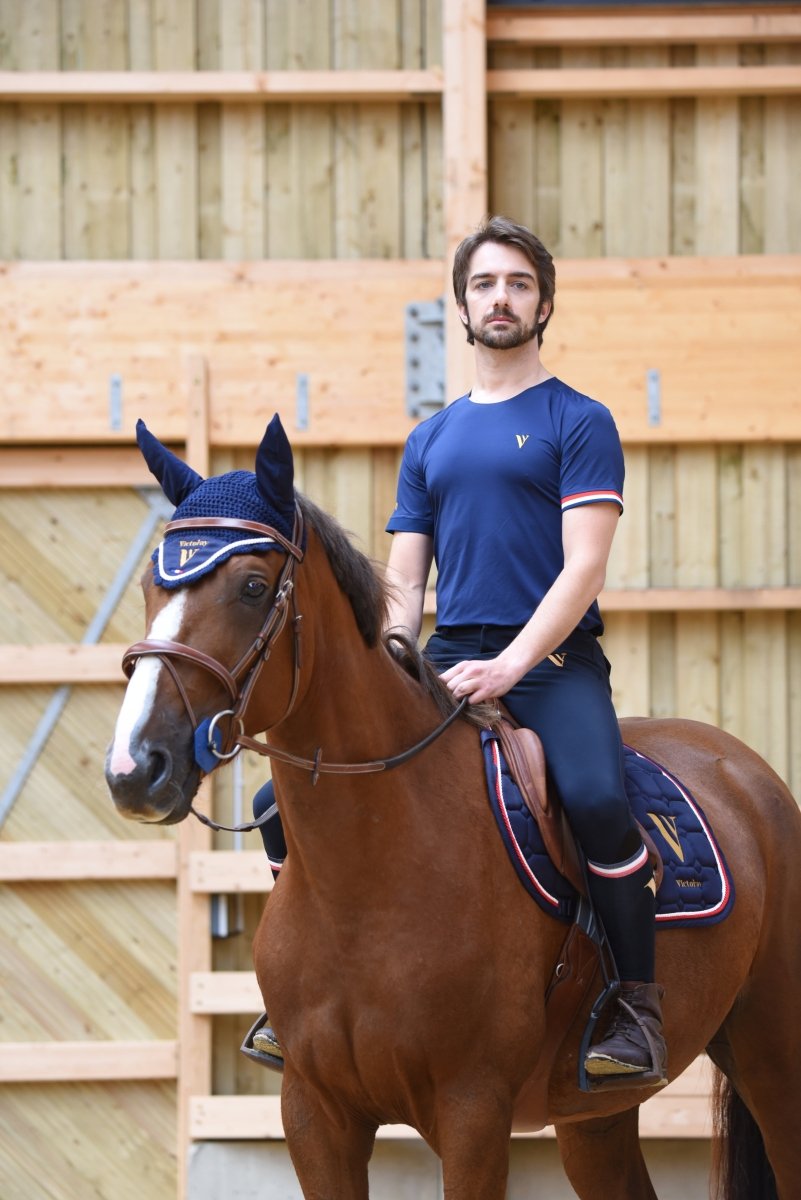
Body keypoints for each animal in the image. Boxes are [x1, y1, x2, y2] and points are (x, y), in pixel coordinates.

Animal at [106, 414, 801, 1200]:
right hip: (594, 1117)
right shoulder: (313, 1112)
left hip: (775, 1059)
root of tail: (745, 770)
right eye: (150, 586)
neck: (370, 877)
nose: (136, 766)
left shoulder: (472, 1111)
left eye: (252, 586)